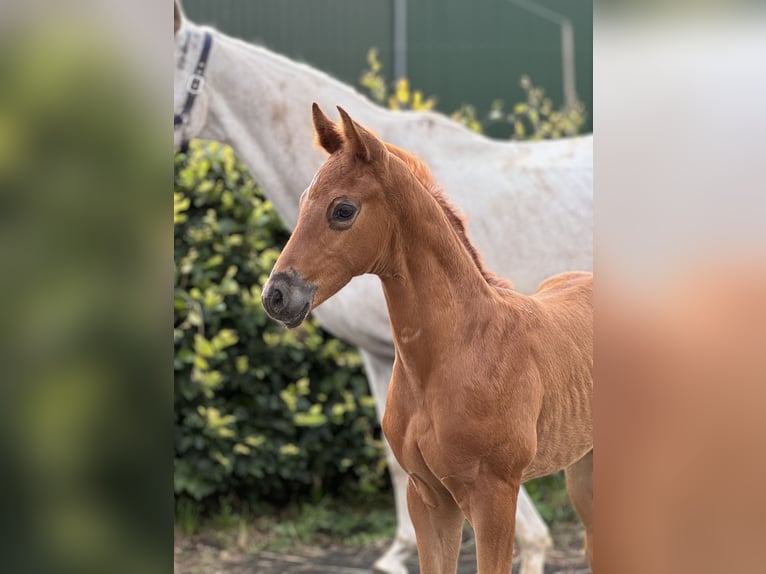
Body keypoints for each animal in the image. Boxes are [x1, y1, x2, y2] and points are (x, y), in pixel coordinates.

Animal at [262, 104, 592, 574]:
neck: (457, 350)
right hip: (584, 466)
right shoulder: (428, 498)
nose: (276, 296)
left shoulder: (495, 497)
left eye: (342, 210)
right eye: (304, 198)